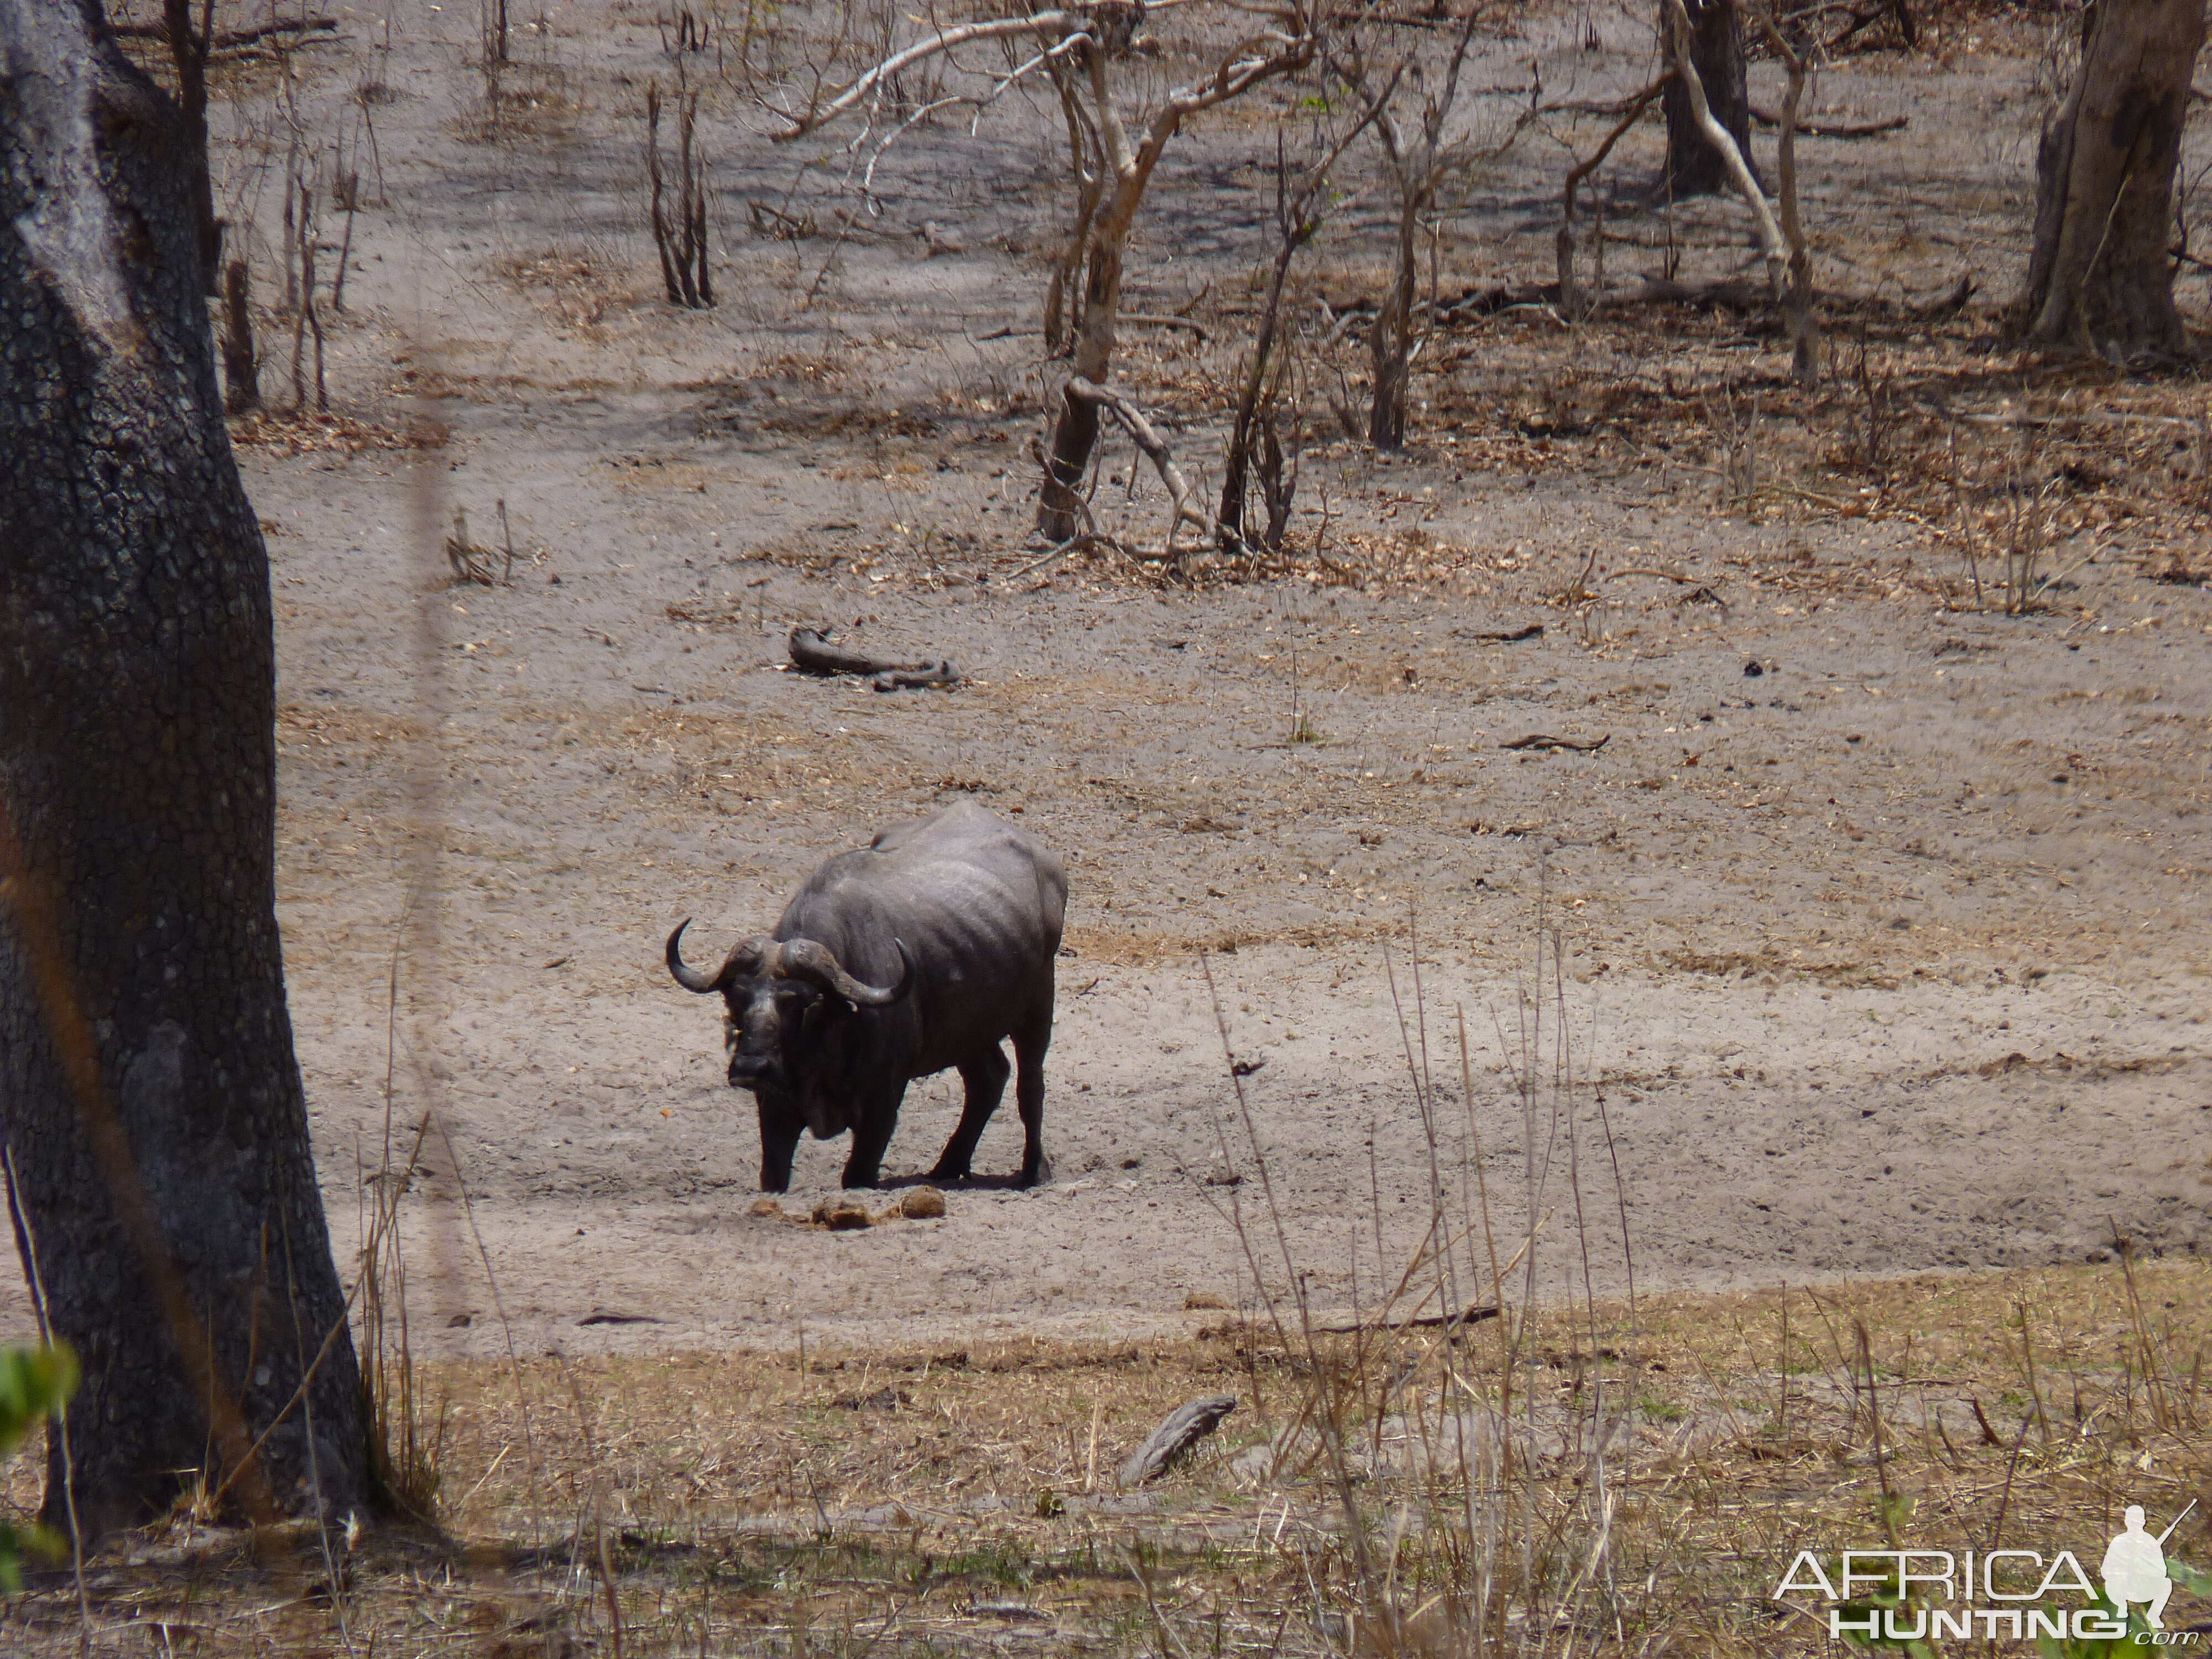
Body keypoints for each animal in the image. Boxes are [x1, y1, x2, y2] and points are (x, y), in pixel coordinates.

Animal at [659, 805, 1066, 1194]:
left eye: (802, 1003)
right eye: (735, 999)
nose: (750, 1067)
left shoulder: (882, 1102)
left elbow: (856, 1174)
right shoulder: (774, 1105)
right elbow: (773, 1175)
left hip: (1038, 1006)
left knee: (1030, 1086)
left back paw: (1035, 1171)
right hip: (968, 1029)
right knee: (988, 1080)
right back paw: (948, 1167)